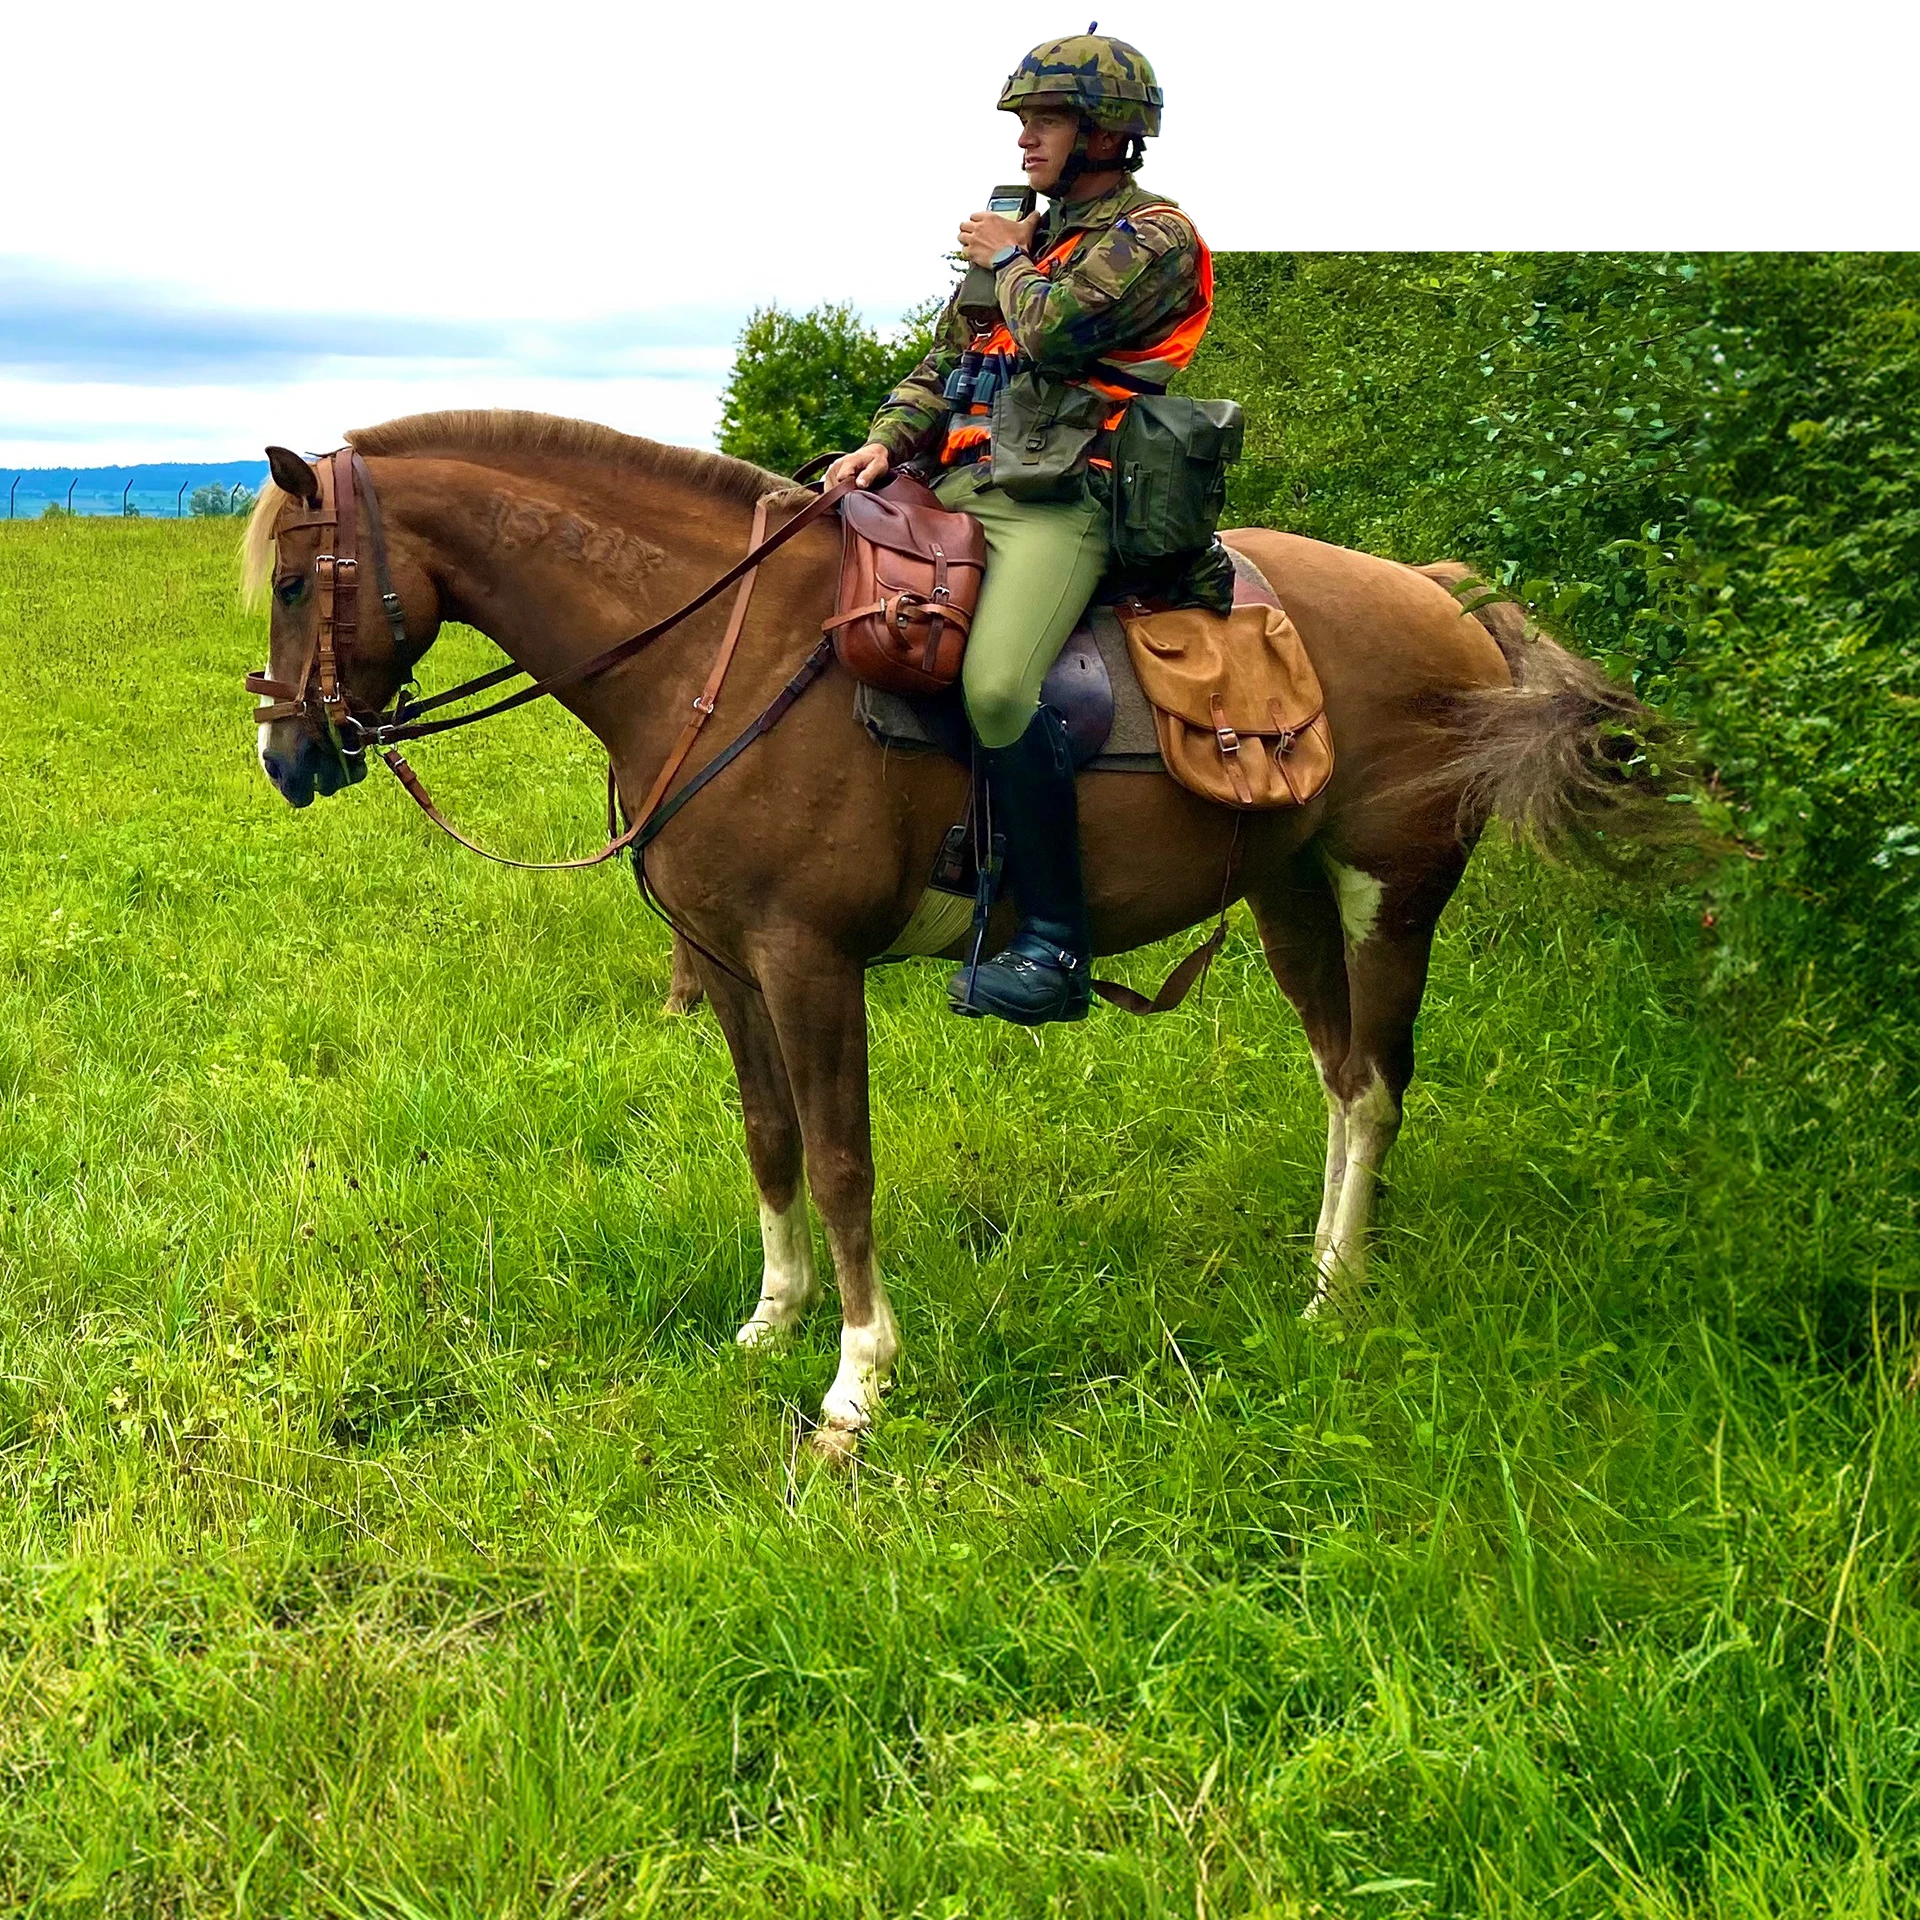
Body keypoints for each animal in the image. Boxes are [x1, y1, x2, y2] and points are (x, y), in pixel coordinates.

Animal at [245, 409, 1669, 1454]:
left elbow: (840, 1162)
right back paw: (1323, 1261)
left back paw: (1335, 1293)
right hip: (1289, 891)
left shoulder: (807, 963)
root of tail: (1437, 591)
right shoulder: (729, 968)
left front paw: (856, 1383)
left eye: (293, 582)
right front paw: (771, 1323)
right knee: (1339, 1072)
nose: (286, 757)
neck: (722, 653)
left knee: (1373, 1082)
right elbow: (769, 1142)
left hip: (1392, 891)